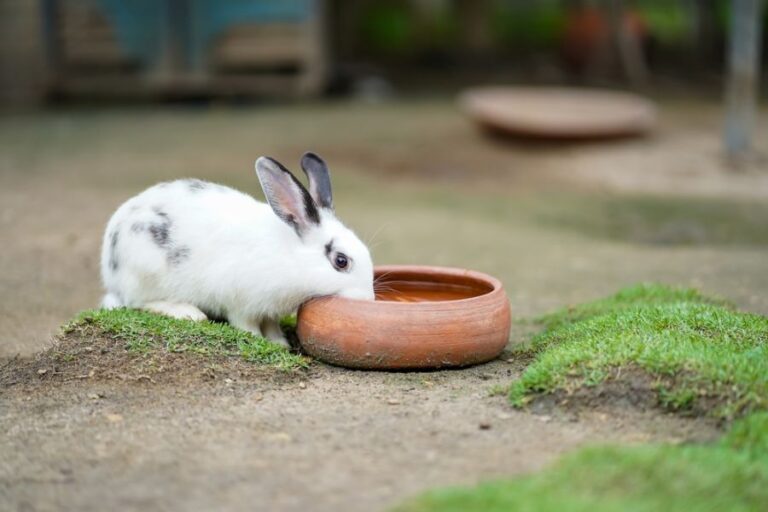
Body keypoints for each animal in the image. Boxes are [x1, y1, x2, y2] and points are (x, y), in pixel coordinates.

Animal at [99, 152, 374, 347]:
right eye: (341, 261)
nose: (368, 299)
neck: (289, 256)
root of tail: (110, 268)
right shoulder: (240, 302)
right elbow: (245, 325)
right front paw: (259, 339)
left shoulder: (269, 310)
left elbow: (271, 325)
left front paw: (280, 343)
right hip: (145, 271)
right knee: (138, 302)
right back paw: (187, 312)